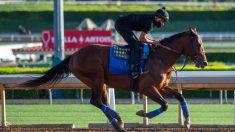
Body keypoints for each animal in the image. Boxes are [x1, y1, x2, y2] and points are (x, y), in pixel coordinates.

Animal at [17, 27, 207, 131]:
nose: (204, 62)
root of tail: (73, 56)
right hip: (96, 78)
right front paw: (142, 113)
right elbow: (165, 105)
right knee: (95, 101)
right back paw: (118, 119)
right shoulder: (147, 88)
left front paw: (188, 122)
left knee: (102, 102)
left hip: (102, 83)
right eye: (198, 44)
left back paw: (117, 123)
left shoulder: (161, 87)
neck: (159, 57)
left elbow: (180, 97)